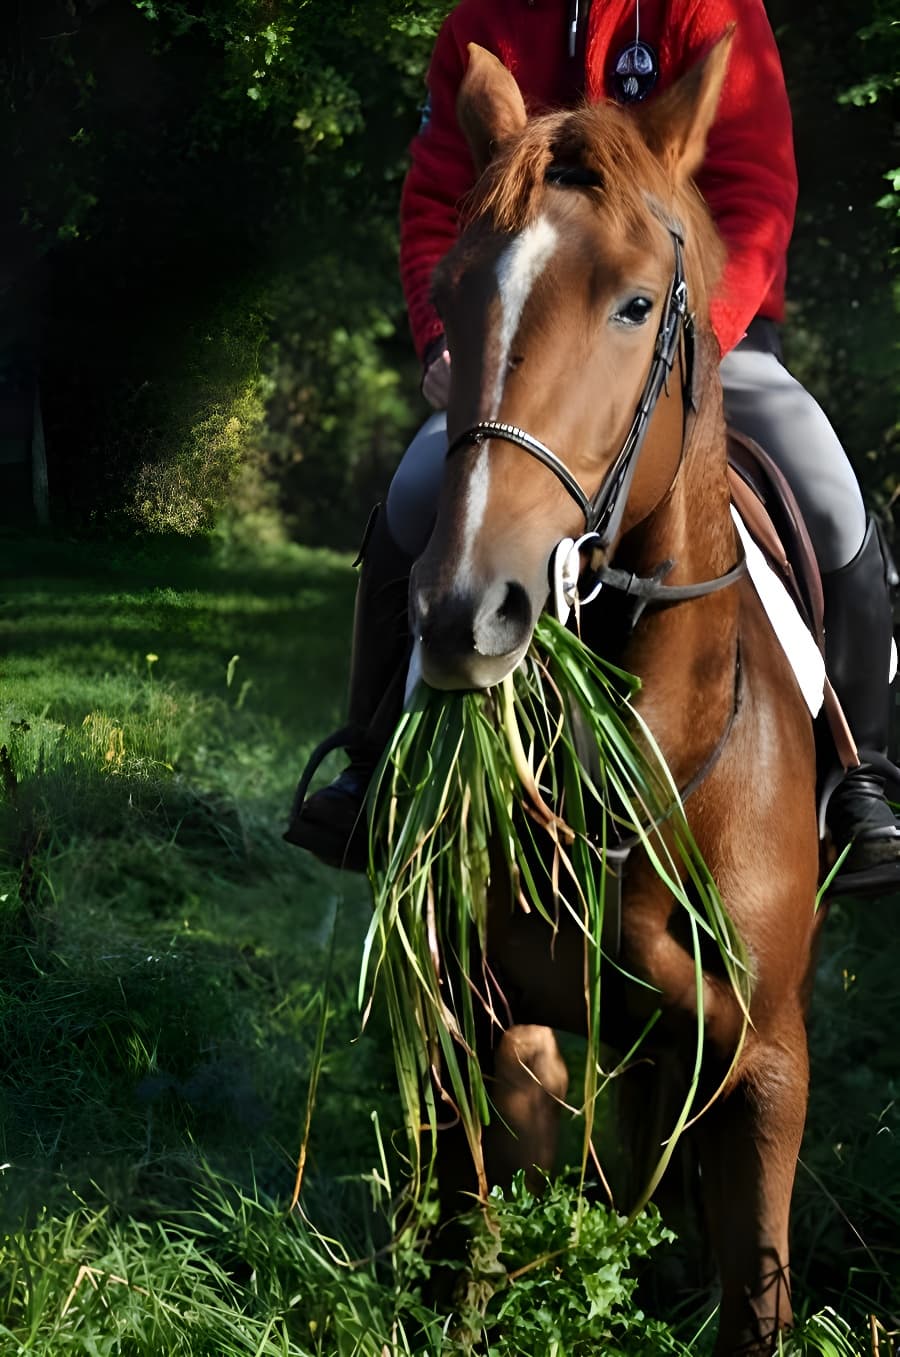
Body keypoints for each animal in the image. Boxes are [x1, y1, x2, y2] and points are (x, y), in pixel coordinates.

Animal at [407, 36, 821, 1357]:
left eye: (638, 303)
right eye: (454, 297)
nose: (466, 608)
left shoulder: (769, 1067)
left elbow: (755, 1290)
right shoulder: (485, 1029)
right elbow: (472, 1256)